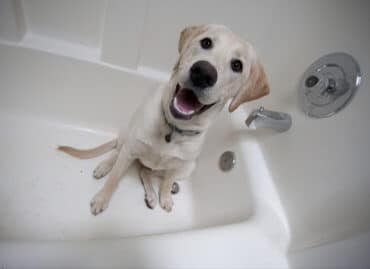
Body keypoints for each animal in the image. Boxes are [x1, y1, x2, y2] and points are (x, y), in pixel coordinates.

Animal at [59, 24, 270, 214]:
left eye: (237, 65)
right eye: (206, 42)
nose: (203, 72)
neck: (173, 128)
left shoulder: (178, 166)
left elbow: (167, 182)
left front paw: (165, 196)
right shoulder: (130, 149)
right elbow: (115, 178)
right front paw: (102, 198)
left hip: (188, 168)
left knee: (146, 172)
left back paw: (154, 195)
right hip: (127, 136)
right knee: (117, 153)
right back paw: (105, 166)